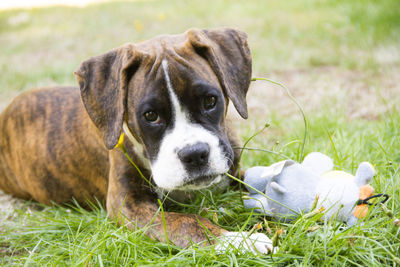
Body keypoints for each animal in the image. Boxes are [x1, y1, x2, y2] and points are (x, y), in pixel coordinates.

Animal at [0, 28, 272, 254]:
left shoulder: (233, 174)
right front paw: (236, 240)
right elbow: (182, 221)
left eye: (210, 101)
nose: (195, 154)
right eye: (150, 116)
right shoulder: (128, 205)